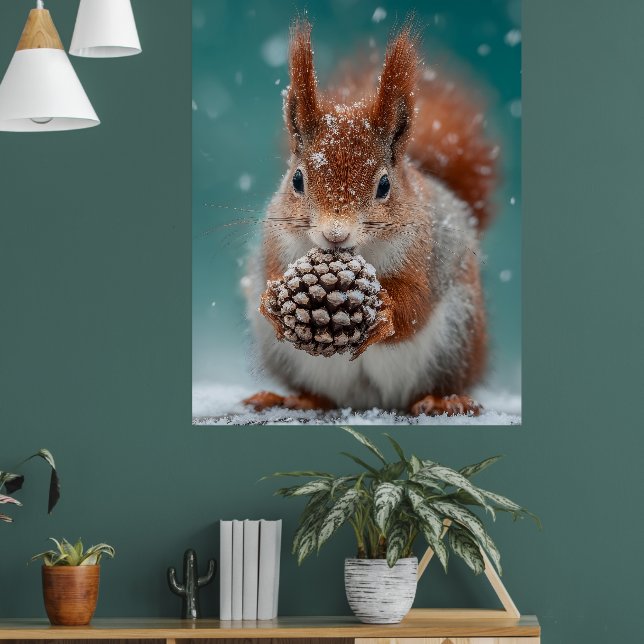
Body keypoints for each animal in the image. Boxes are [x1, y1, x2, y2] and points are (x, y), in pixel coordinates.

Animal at [243, 20, 498, 417]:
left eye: (384, 185)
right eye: (297, 180)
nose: (335, 235)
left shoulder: (426, 255)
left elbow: (415, 303)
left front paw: (387, 312)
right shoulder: (277, 240)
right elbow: (271, 272)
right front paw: (270, 299)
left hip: (457, 335)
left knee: (437, 382)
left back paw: (443, 400)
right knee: (320, 395)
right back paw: (296, 397)